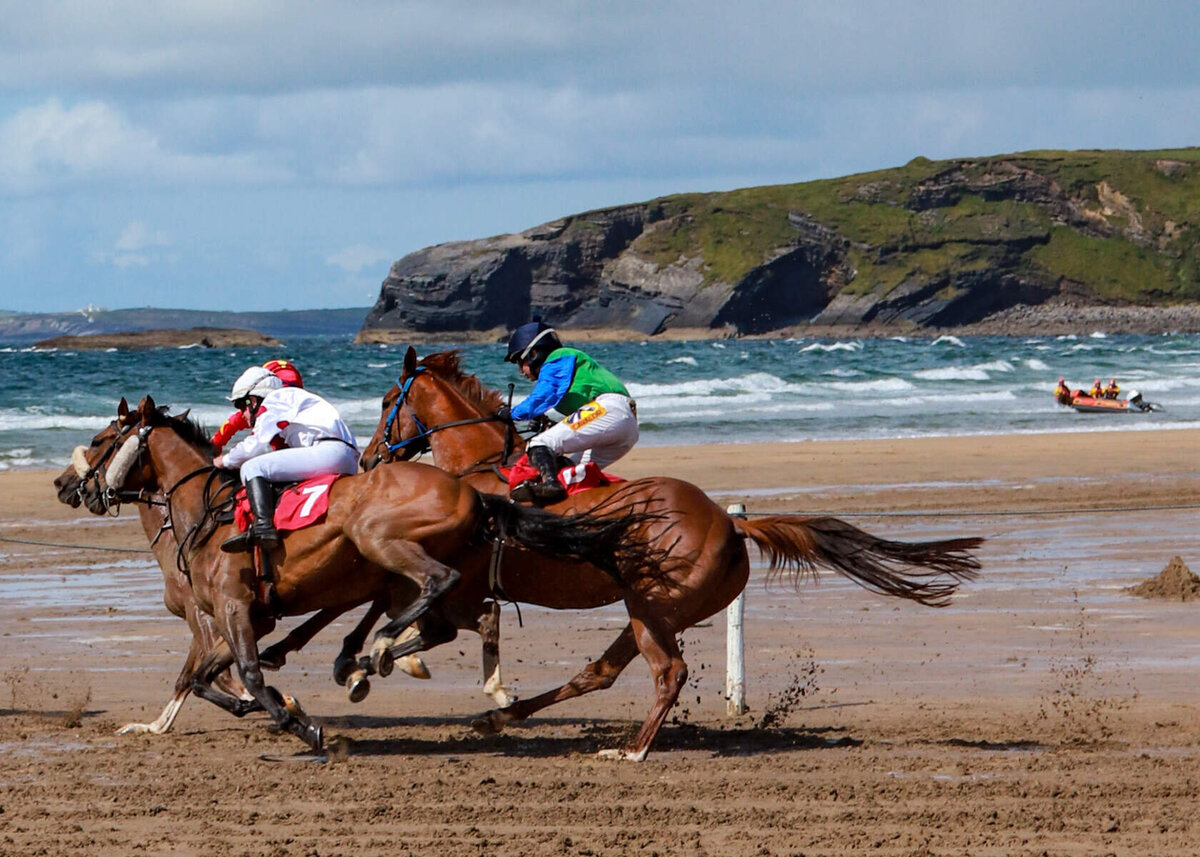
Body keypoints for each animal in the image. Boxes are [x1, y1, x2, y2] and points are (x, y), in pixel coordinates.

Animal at [51, 393, 657, 748]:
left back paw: (383, 652)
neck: (206, 513)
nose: (65, 484)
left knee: (440, 592)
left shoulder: (233, 608)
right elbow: (203, 677)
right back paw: (376, 658)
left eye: (102, 440)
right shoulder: (240, 616)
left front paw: (301, 723)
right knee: (450, 618)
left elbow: (241, 672)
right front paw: (264, 704)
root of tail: (472, 491)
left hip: (383, 545)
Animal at [357, 348, 984, 763]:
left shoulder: (465, 585)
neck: (480, 472)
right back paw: (508, 717)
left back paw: (632, 751)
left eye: (389, 401)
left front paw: (383, 662)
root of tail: (728, 520)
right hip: (659, 609)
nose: (367, 460)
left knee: (668, 672)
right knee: (602, 672)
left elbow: (421, 623)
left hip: (650, 605)